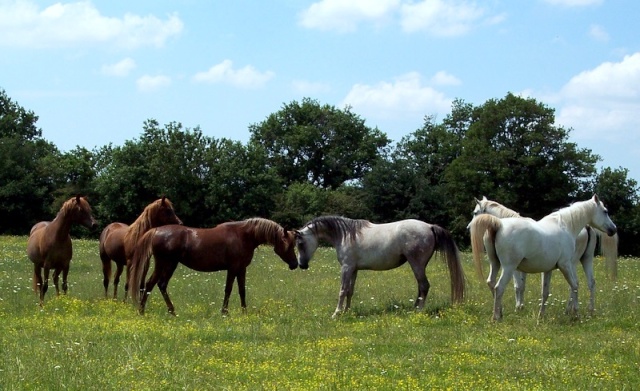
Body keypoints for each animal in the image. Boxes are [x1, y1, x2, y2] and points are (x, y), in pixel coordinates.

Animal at [130, 219, 300, 316]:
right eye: (289, 245)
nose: (295, 264)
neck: (243, 236)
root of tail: (156, 230)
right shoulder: (233, 268)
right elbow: (228, 289)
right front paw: (224, 312)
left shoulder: (241, 269)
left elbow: (242, 290)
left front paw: (244, 312)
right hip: (165, 264)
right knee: (150, 284)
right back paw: (142, 311)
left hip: (170, 265)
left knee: (161, 285)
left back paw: (171, 311)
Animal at [296, 216, 464, 320]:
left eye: (300, 243)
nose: (302, 265)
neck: (345, 235)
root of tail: (429, 226)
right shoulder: (353, 269)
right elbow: (350, 291)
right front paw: (347, 311)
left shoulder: (346, 268)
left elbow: (342, 291)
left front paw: (336, 313)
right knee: (421, 287)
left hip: (417, 264)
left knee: (424, 285)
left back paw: (418, 311)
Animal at [470, 196, 616, 322]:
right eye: (605, 211)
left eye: (476, 212)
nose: (613, 229)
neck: (565, 225)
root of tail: (498, 224)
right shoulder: (564, 265)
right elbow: (573, 286)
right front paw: (576, 313)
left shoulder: (548, 269)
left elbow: (545, 292)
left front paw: (541, 315)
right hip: (509, 268)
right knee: (498, 287)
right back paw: (497, 317)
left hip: (496, 264)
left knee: (491, 282)